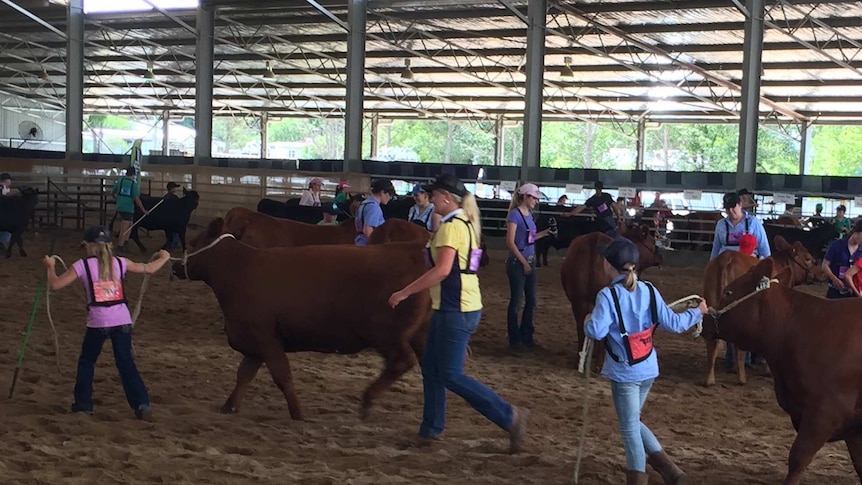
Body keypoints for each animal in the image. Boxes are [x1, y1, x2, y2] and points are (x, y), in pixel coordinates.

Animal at [173, 219, 436, 420]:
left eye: (194, 243)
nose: (175, 268)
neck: (239, 268)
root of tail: (413, 252)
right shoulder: (255, 342)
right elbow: (244, 375)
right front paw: (229, 406)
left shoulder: (266, 339)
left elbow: (282, 376)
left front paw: (297, 412)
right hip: (419, 334)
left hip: (385, 335)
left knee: (402, 361)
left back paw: (368, 400)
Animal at [704, 234, 828, 386]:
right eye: (808, 258)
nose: (823, 273)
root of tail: (726, 258)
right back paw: (741, 378)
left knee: (713, 342)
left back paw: (711, 378)